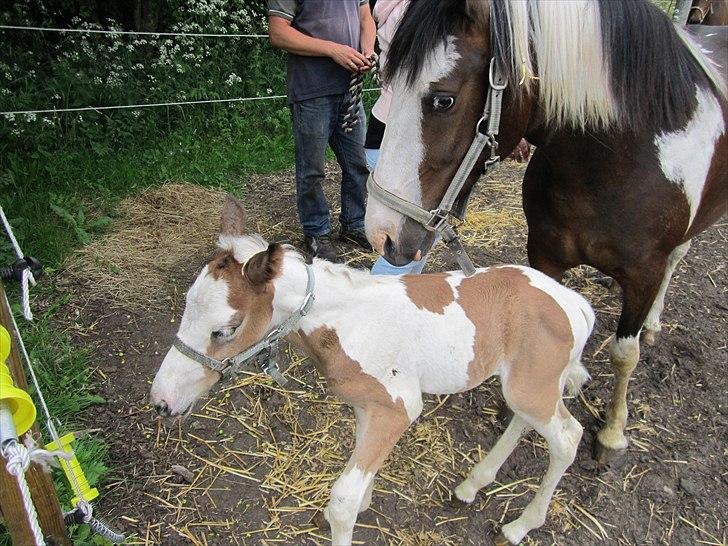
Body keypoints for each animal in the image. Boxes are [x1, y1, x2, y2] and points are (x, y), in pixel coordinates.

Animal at [151, 199, 596, 544]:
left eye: (225, 330)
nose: (160, 400)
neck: (350, 322)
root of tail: (574, 303)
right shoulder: (368, 405)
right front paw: (364, 499)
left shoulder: (399, 407)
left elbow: (343, 500)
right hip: (529, 382)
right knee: (525, 419)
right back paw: (471, 485)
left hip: (532, 385)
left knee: (567, 437)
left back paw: (518, 527)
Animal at [364, 0, 728, 462]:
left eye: (443, 100)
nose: (382, 233)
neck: (620, 159)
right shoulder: (545, 255)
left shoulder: (645, 273)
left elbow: (625, 354)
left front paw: (612, 432)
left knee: (676, 261)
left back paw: (653, 323)